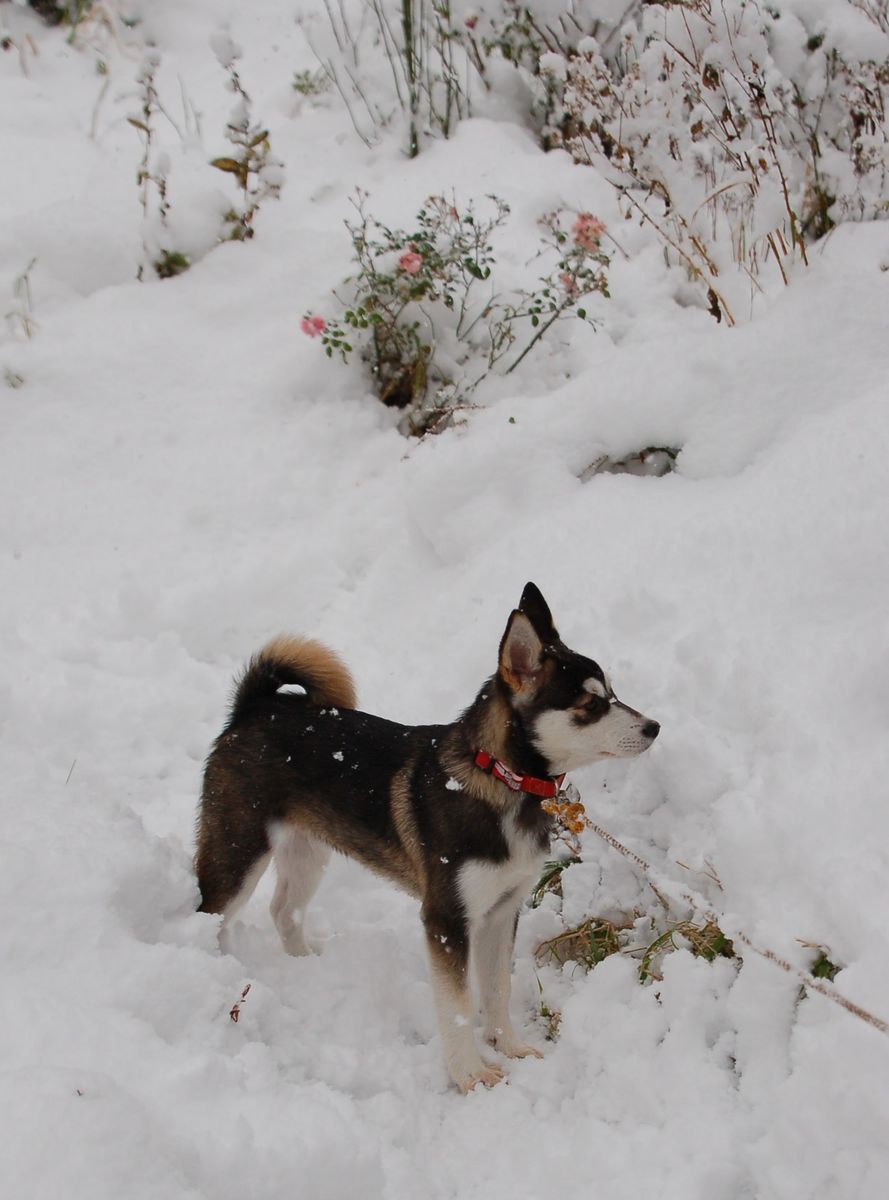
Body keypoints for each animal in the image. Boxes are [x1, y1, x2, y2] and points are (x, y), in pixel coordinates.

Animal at [197, 585, 662, 1094]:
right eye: (589, 706)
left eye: (613, 693)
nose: (654, 727)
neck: (502, 778)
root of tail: (256, 708)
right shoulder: (446, 918)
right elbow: (457, 1007)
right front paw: (472, 1076)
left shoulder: (502, 911)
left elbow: (497, 988)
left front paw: (510, 1045)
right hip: (237, 852)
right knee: (210, 915)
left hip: (308, 850)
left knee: (284, 910)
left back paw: (304, 965)